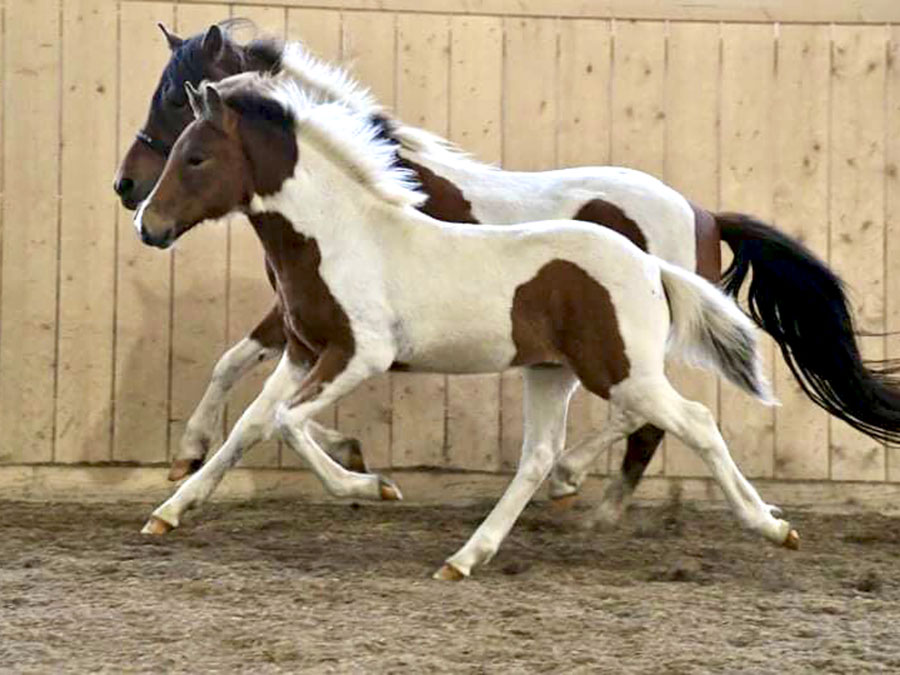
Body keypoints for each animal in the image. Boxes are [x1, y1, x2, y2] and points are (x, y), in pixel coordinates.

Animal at [135, 75, 800, 580]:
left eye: (195, 156)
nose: (147, 223)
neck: (342, 235)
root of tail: (651, 265)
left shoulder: (362, 353)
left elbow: (284, 422)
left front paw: (373, 487)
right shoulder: (303, 352)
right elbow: (251, 424)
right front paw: (170, 508)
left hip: (622, 373)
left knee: (693, 422)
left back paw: (772, 527)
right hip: (552, 373)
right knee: (540, 455)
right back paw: (465, 558)